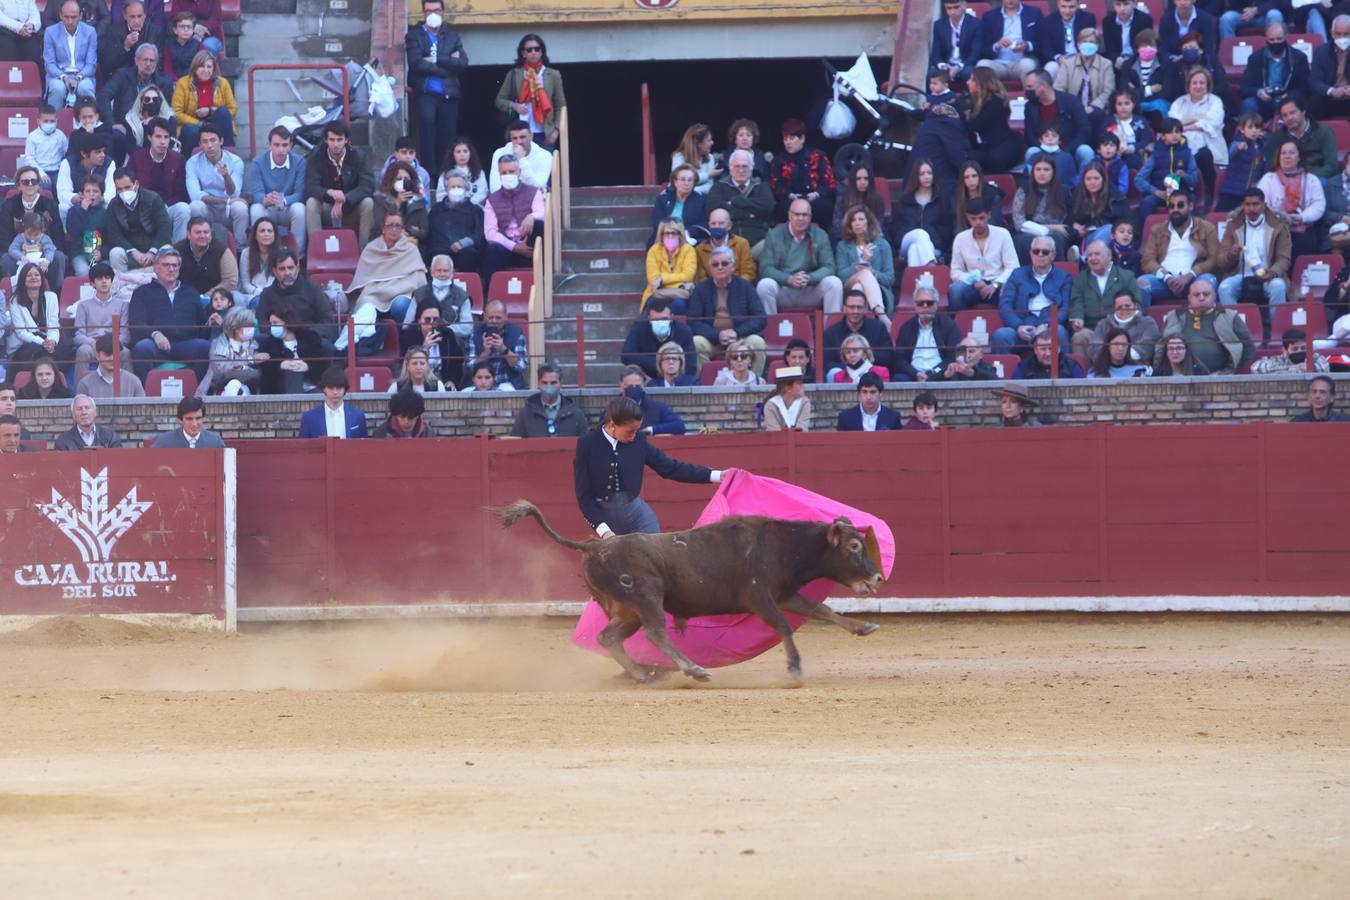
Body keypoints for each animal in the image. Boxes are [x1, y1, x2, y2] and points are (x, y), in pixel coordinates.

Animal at [496, 499, 885, 682]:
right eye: (854, 546)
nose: (878, 578)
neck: (781, 545)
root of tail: (592, 545)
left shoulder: (785, 594)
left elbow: (823, 610)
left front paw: (863, 626)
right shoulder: (760, 598)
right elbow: (785, 626)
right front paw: (795, 668)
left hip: (626, 609)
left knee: (609, 638)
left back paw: (642, 674)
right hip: (646, 597)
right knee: (655, 632)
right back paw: (692, 669)